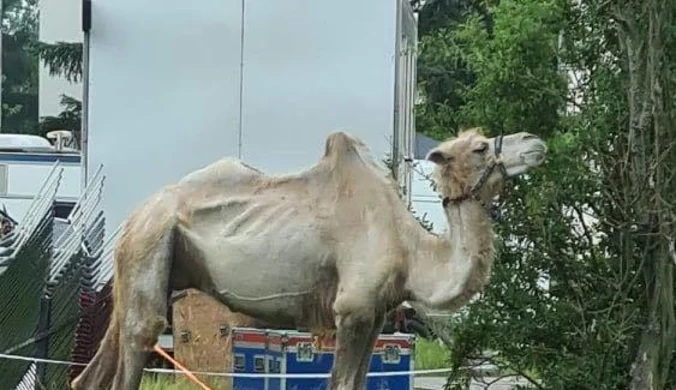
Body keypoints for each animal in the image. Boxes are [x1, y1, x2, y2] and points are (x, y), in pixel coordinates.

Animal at [72, 129, 548, 390]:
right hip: (153, 243)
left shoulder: (376, 315)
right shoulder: (352, 309)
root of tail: (134, 218)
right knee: (139, 340)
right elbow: (340, 383)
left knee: (91, 374)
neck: (412, 252)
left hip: (143, 267)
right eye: (482, 147)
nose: (535, 142)